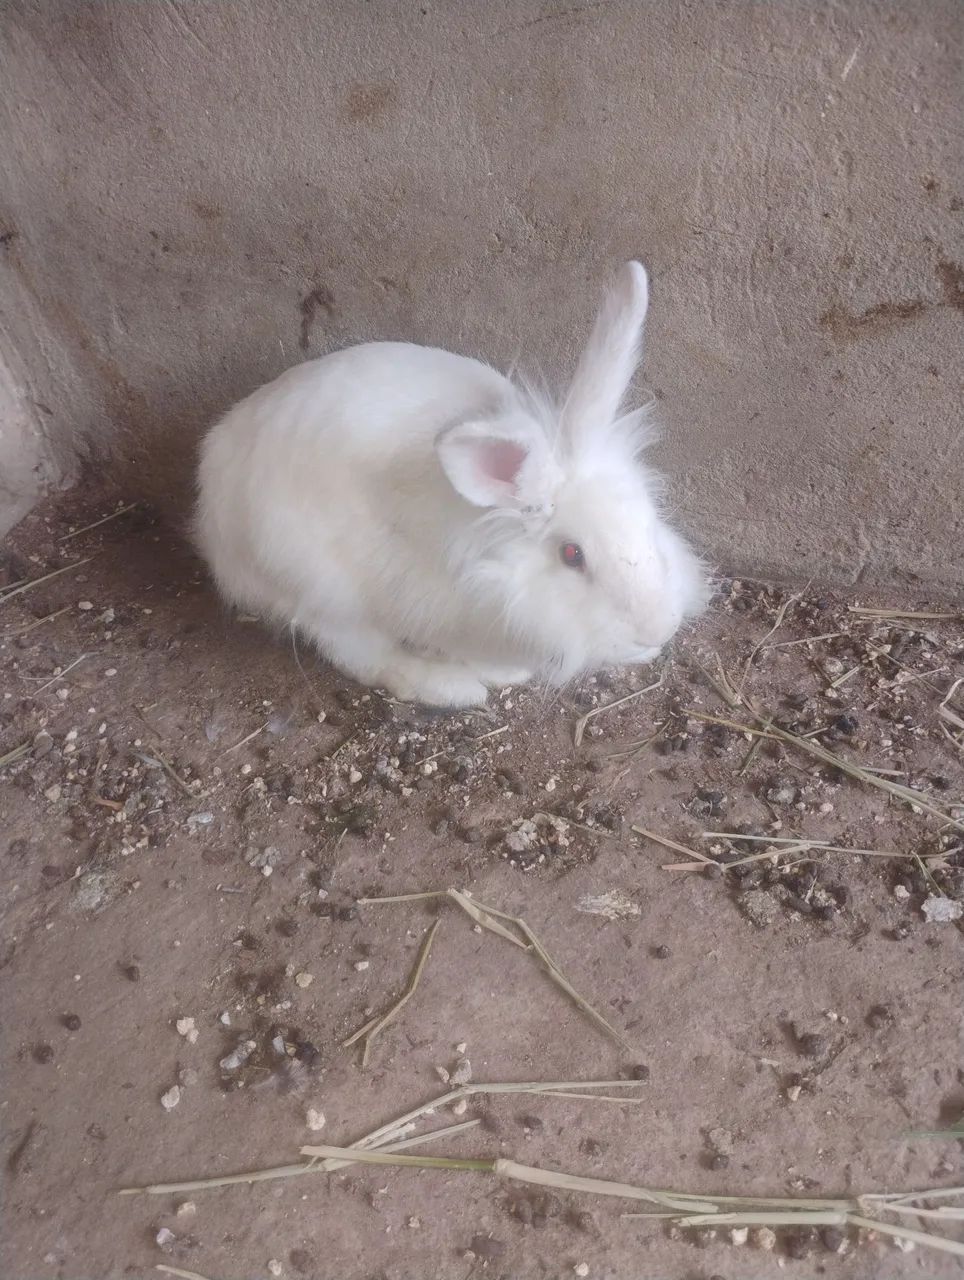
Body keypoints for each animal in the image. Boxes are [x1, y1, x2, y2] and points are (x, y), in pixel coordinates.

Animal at [194, 261, 708, 707]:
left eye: (649, 525)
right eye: (572, 554)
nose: (657, 630)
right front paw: (495, 672)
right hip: (316, 580)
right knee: (358, 652)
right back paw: (447, 687)